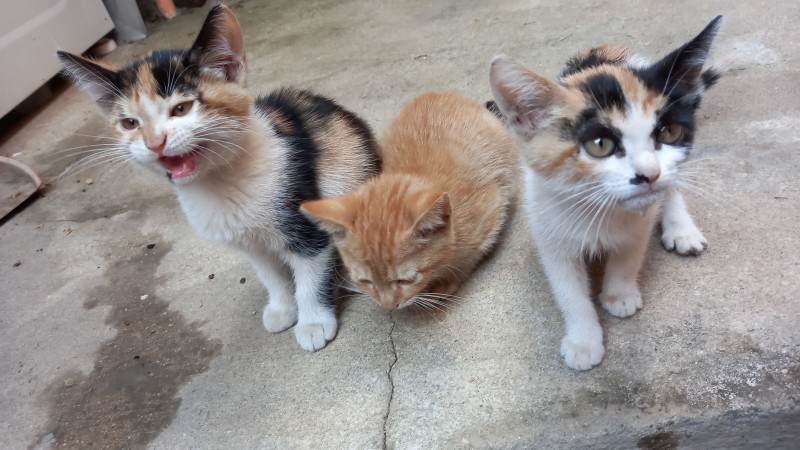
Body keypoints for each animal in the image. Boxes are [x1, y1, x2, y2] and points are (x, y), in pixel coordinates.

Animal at [57, 6, 382, 352]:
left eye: (182, 108)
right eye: (129, 123)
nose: (154, 143)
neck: (219, 180)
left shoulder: (302, 214)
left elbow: (311, 271)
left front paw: (313, 322)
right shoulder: (249, 241)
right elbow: (268, 272)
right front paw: (282, 307)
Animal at [300, 93, 520, 312]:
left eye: (406, 280)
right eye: (365, 281)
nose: (389, 306)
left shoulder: (492, 212)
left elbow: (470, 258)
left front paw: (447, 280)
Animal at [490, 16, 720, 370]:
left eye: (669, 132)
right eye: (600, 145)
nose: (650, 174)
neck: (597, 207)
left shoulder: (640, 219)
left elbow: (628, 255)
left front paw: (619, 295)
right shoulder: (549, 232)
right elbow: (568, 291)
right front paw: (583, 340)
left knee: (672, 187)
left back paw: (681, 228)